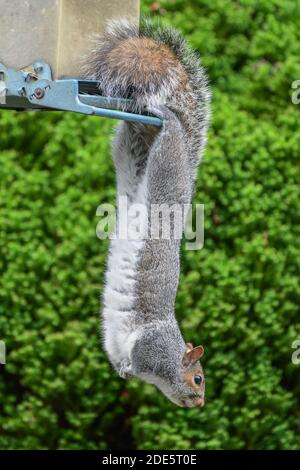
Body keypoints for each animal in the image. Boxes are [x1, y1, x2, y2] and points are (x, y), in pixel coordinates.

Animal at [83, 18, 210, 408]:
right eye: (198, 378)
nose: (200, 404)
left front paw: (120, 369)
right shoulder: (150, 348)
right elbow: (136, 360)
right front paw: (127, 369)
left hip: (133, 159)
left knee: (130, 140)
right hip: (165, 169)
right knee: (167, 132)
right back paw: (165, 116)